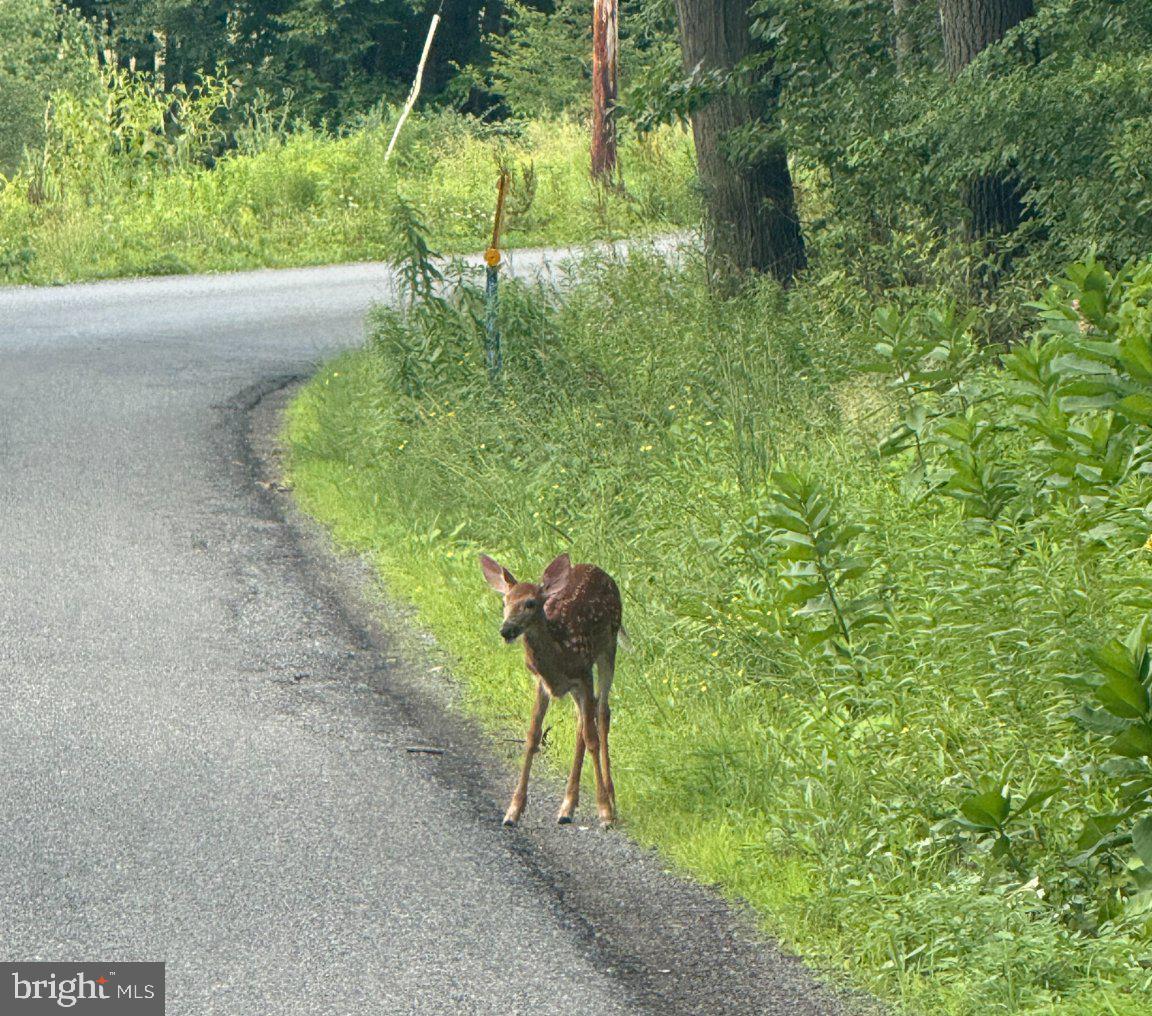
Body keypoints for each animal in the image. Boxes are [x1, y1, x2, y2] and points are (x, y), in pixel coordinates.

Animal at [479, 552, 622, 828]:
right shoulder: (542, 684)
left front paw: (604, 811)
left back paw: (609, 798)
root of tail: (599, 570)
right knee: (583, 720)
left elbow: (592, 738)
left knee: (602, 713)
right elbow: (533, 736)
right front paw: (513, 810)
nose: (506, 630)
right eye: (505, 601)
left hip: (609, 646)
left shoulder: (584, 673)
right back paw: (567, 806)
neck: (559, 650)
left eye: (530, 603)